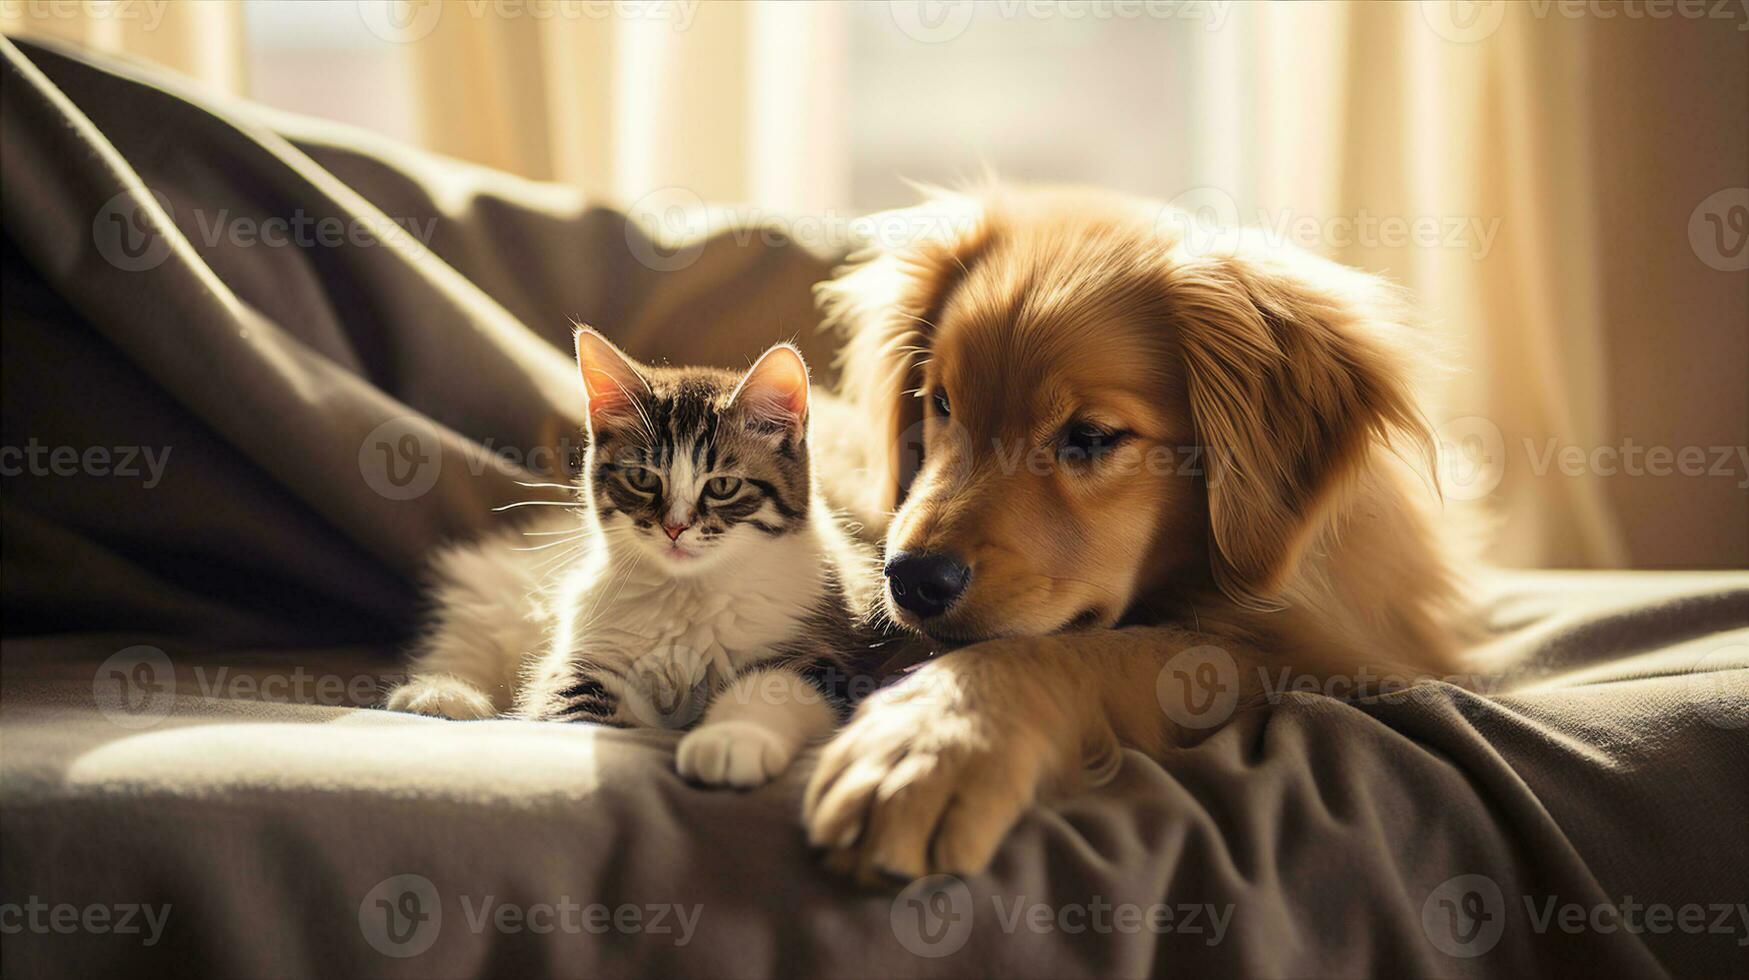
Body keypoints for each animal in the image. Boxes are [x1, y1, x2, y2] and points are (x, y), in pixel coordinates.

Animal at [386, 329, 902, 787]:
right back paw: (439, 693)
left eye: (723, 486)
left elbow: (770, 691)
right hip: (505, 593)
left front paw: (729, 740)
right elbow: (577, 714)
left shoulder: (825, 652)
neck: (688, 593)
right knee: (469, 637)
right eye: (642, 478)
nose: (674, 528)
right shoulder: (584, 658)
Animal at [804, 183, 1476, 882]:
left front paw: (934, 737)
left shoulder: (1321, 659)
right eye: (939, 403)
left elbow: (1093, 651)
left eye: (1092, 436)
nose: (911, 579)